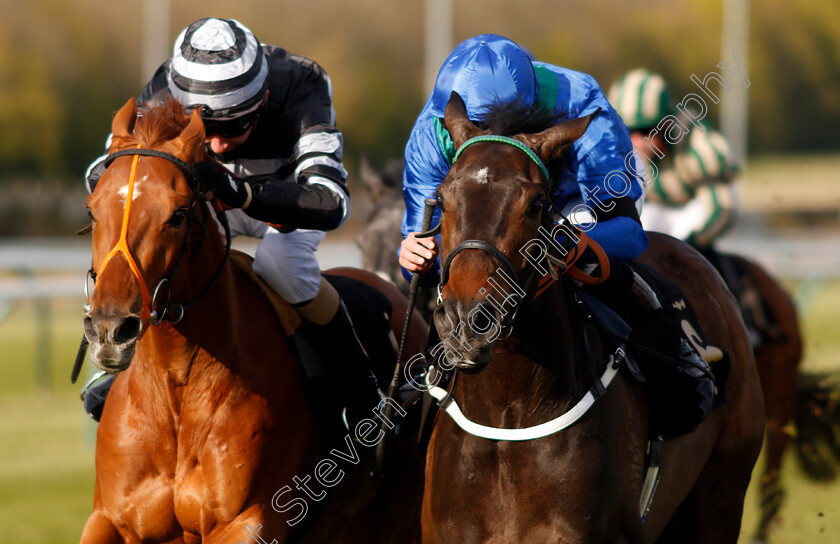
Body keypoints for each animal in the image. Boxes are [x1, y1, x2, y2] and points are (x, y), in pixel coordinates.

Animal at [79, 99, 426, 544]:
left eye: (177, 214)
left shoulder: (247, 520)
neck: (178, 388)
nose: (109, 329)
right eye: (93, 210)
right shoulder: (108, 519)